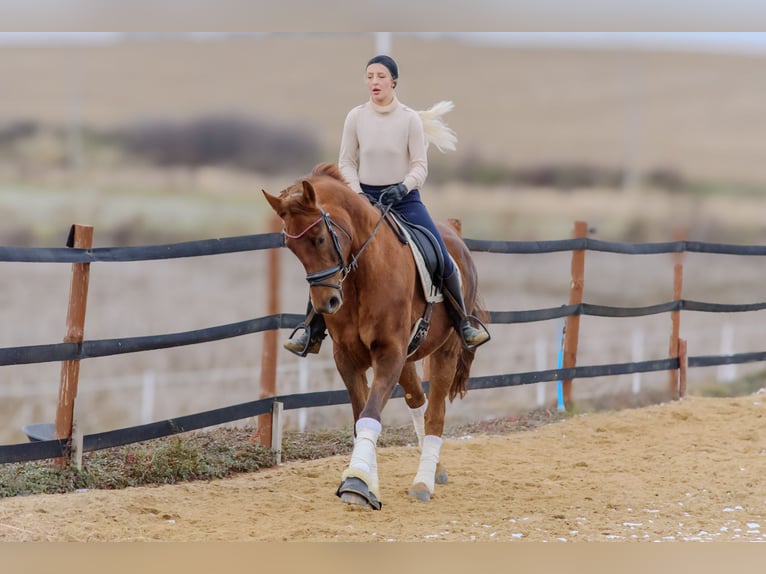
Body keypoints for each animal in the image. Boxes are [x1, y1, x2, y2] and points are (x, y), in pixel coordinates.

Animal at [263, 162, 487, 510]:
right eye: (291, 246)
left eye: (319, 238)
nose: (327, 303)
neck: (362, 276)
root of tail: (454, 231)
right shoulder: (348, 358)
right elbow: (362, 418)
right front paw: (367, 481)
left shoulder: (389, 353)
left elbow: (371, 414)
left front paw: (356, 483)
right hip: (409, 356)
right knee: (417, 401)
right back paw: (435, 469)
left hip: (445, 351)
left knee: (435, 414)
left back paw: (423, 482)